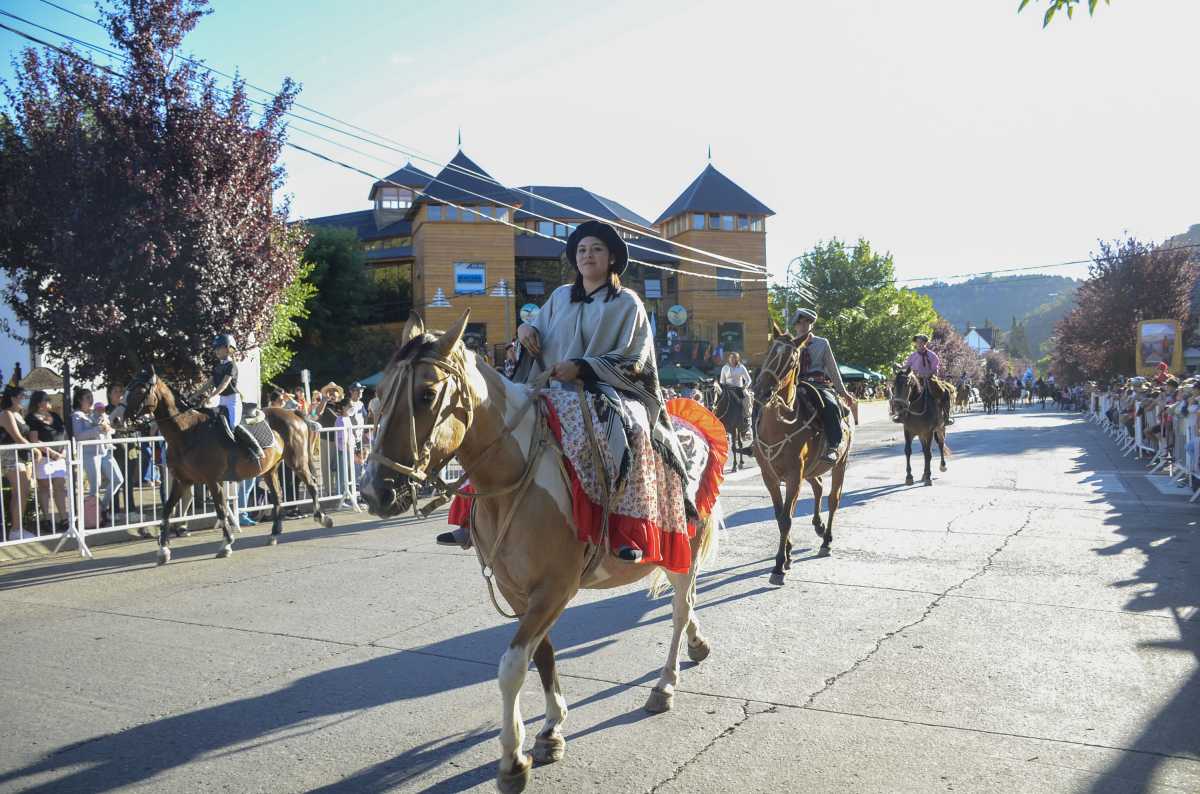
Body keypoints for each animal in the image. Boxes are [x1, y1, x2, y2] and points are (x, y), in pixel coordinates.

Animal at [122, 369, 333, 566]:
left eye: (140, 390)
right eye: (127, 388)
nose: (119, 418)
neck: (186, 432)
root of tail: (293, 413)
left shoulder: (212, 481)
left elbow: (221, 510)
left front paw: (226, 544)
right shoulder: (182, 481)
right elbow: (166, 511)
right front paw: (163, 550)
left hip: (297, 461)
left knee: (312, 485)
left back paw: (322, 518)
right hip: (269, 470)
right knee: (278, 496)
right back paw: (274, 534)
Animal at [360, 311, 720, 794]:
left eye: (428, 394)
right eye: (379, 394)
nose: (373, 492)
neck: (511, 482)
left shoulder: (554, 589)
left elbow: (513, 664)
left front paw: (513, 759)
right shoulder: (520, 591)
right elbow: (544, 654)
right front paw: (551, 730)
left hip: (684, 549)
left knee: (681, 608)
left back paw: (665, 685)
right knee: (688, 607)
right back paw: (697, 646)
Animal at [748, 326, 854, 582]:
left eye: (791, 359)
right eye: (770, 352)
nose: (761, 391)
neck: (778, 425)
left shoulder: (794, 475)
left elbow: (787, 517)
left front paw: (779, 565)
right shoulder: (770, 477)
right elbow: (780, 516)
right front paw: (787, 554)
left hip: (840, 463)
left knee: (833, 499)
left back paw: (826, 540)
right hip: (811, 470)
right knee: (818, 487)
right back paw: (818, 526)